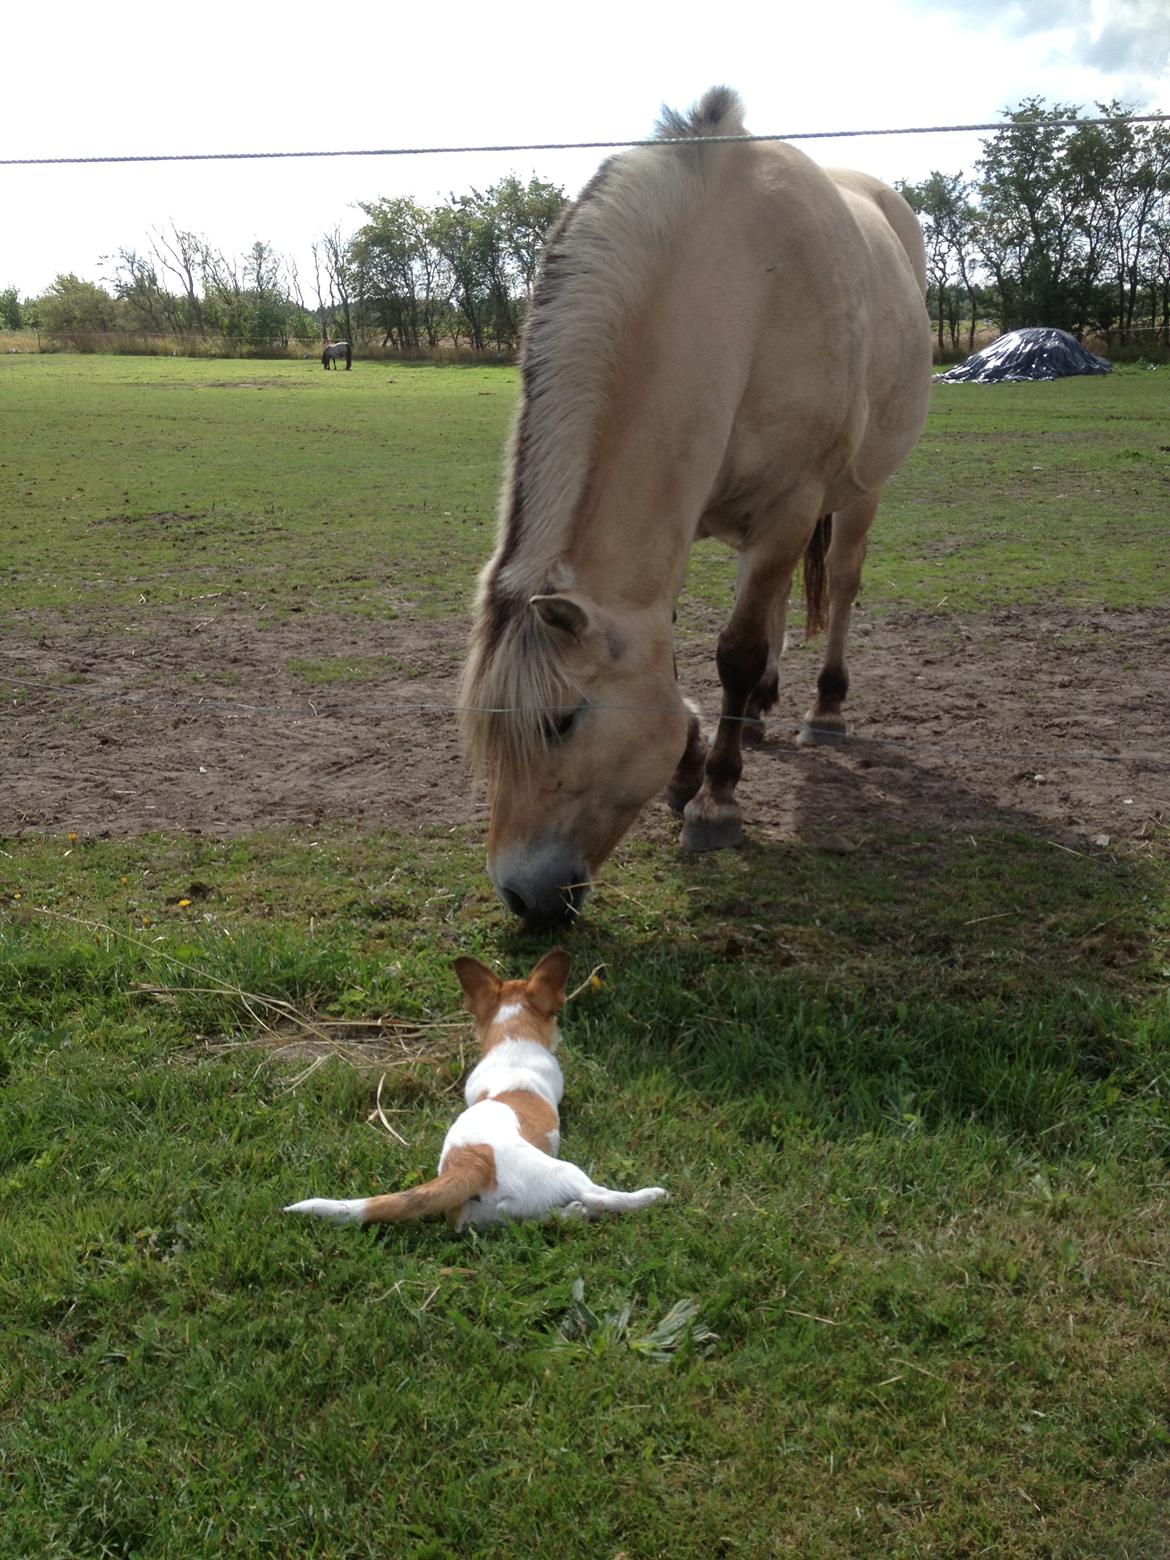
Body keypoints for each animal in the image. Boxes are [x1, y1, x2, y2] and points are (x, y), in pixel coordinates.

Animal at [285, 948, 667, 1229]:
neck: (511, 1036)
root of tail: (470, 1166)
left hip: (488, 1216)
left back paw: (571, 1214)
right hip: (565, 1173)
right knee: (601, 1197)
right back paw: (650, 1196)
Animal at [461, 88, 929, 923]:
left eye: (562, 720)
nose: (520, 895)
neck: (743, 286)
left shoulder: (792, 505)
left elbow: (733, 652)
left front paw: (714, 801)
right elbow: (685, 650)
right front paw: (686, 767)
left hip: (858, 494)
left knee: (839, 585)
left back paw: (822, 711)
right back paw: (764, 711)